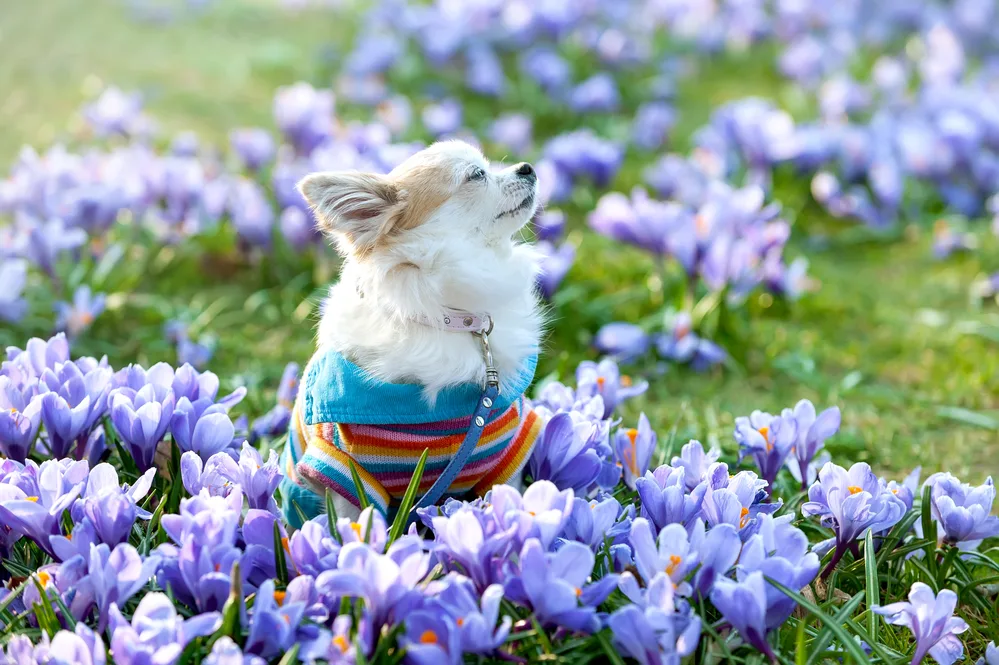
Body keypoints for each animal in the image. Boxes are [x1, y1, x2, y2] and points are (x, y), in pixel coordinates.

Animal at [280, 140, 548, 524]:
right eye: (476, 175)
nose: (527, 167)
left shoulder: (505, 454)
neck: (451, 320)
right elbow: (355, 528)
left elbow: (512, 497)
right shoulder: (346, 471)